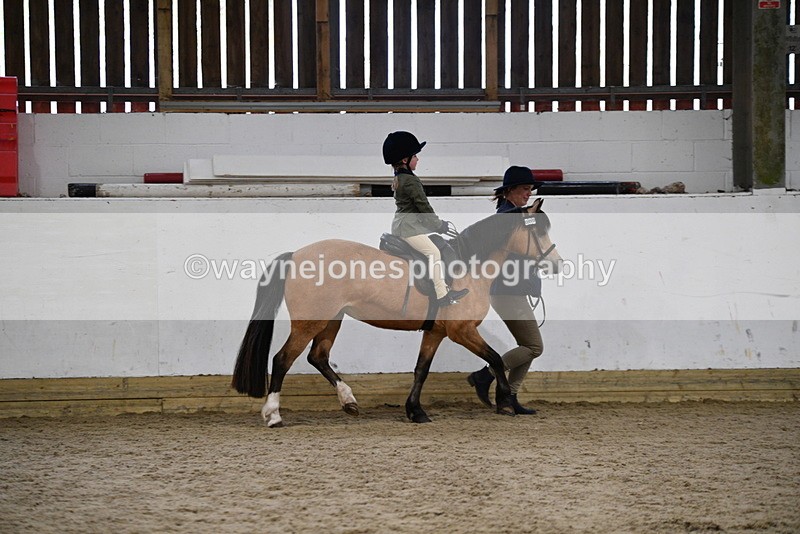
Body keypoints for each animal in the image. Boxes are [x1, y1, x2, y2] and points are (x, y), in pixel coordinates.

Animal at [231, 198, 561, 427]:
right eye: (539, 232)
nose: (557, 264)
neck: (469, 266)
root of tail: (296, 255)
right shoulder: (462, 331)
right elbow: (495, 359)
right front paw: (505, 402)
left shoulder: (435, 332)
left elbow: (421, 370)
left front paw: (416, 411)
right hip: (309, 323)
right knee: (282, 360)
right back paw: (274, 415)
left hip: (332, 320)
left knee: (318, 357)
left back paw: (349, 401)